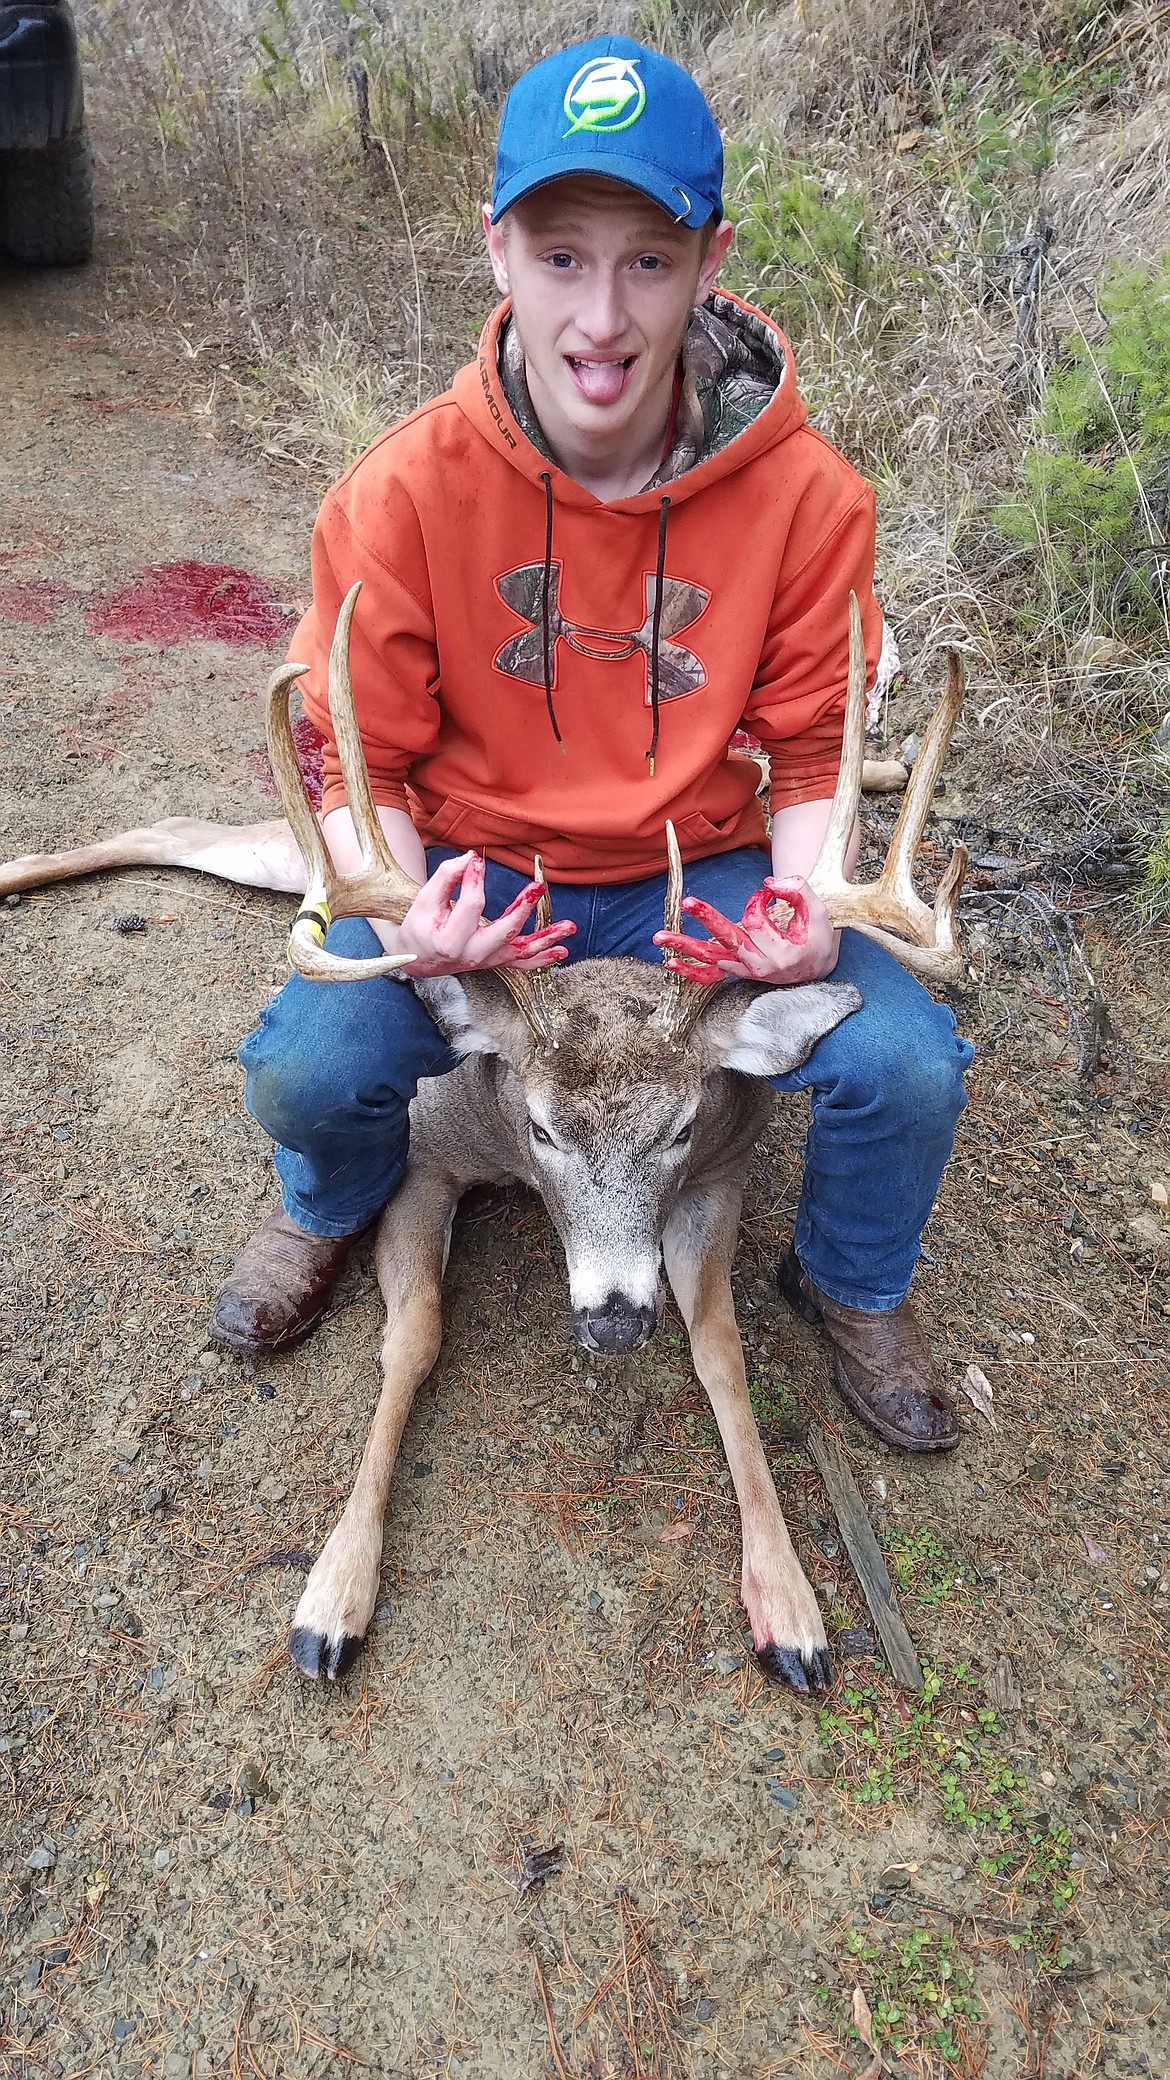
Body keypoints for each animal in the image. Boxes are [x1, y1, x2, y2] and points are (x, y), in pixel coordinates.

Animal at [0, 586, 961, 1688]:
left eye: (681, 1126)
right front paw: (332, 1599)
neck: (502, 1145)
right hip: (304, 848)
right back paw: (14, 870)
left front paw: (791, 1609)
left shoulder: (720, 1176)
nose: (615, 1319)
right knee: (178, 824)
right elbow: (413, 1337)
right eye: (540, 1124)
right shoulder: (422, 1157)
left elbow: (720, 1348)